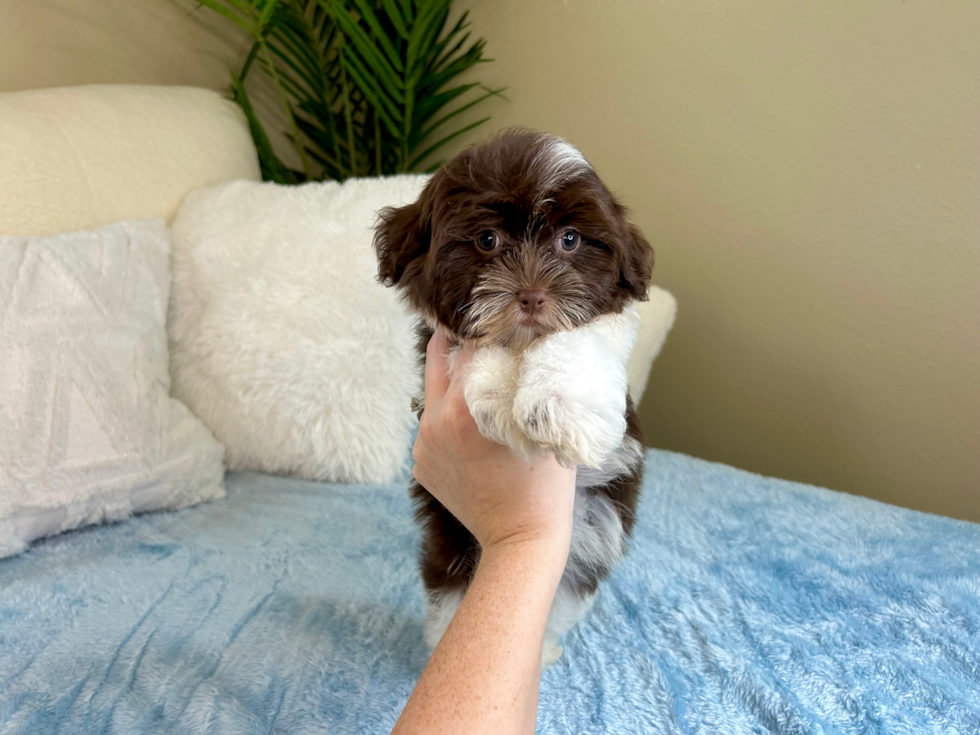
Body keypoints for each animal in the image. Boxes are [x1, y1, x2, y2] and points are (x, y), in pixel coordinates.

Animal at [372, 128, 656, 668]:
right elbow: (478, 353)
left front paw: (559, 406)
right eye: (488, 240)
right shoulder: (442, 350)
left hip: (590, 535)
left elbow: (580, 341)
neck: (524, 343)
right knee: (449, 585)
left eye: (570, 239)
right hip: (452, 537)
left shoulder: (605, 328)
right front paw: (499, 398)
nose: (532, 295)